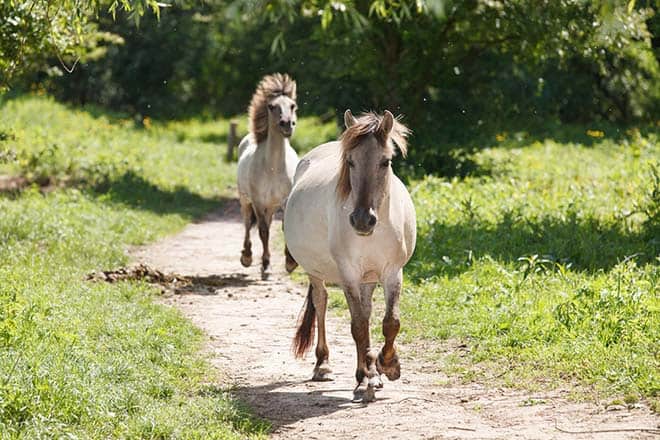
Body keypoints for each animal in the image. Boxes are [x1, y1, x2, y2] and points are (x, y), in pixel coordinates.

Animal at [237, 73, 300, 278]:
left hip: (271, 206)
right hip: (246, 200)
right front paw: (265, 266)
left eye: (292, 105)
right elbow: (263, 231)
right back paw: (247, 257)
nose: (287, 124)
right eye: (272, 106)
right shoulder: (258, 201)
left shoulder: (285, 201)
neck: (273, 168)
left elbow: (284, 227)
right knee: (247, 223)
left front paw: (290, 262)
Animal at [284, 109, 418, 402]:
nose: (362, 220)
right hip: (317, 272)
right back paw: (324, 365)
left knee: (366, 314)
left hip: (368, 278)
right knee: (322, 303)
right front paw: (366, 378)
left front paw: (387, 366)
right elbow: (358, 327)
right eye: (350, 162)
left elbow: (390, 322)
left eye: (385, 161)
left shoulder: (393, 273)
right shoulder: (348, 275)